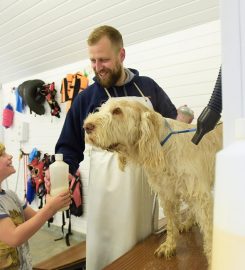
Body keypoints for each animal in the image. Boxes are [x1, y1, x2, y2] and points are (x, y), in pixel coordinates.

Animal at [83, 98, 222, 266]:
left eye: (117, 111)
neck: (164, 147)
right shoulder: (168, 195)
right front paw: (169, 245)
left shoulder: (200, 196)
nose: (86, 126)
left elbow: (209, 231)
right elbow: (171, 224)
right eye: (101, 109)